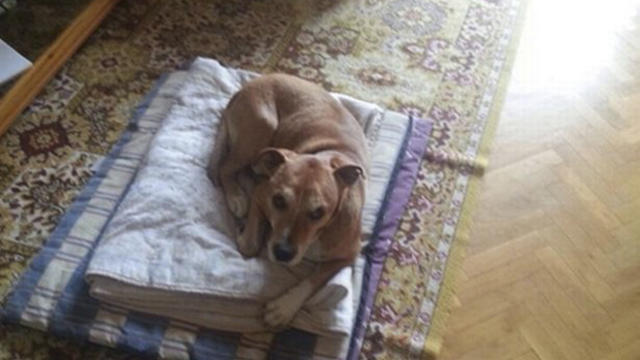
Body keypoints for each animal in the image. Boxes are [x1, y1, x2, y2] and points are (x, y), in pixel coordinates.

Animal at [209, 74, 368, 328]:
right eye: (278, 200)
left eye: (319, 212)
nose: (283, 252)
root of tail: (252, 83)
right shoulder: (261, 195)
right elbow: (250, 245)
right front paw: (245, 231)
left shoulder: (348, 255)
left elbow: (314, 279)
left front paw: (285, 307)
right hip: (262, 128)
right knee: (226, 168)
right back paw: (237, 196)